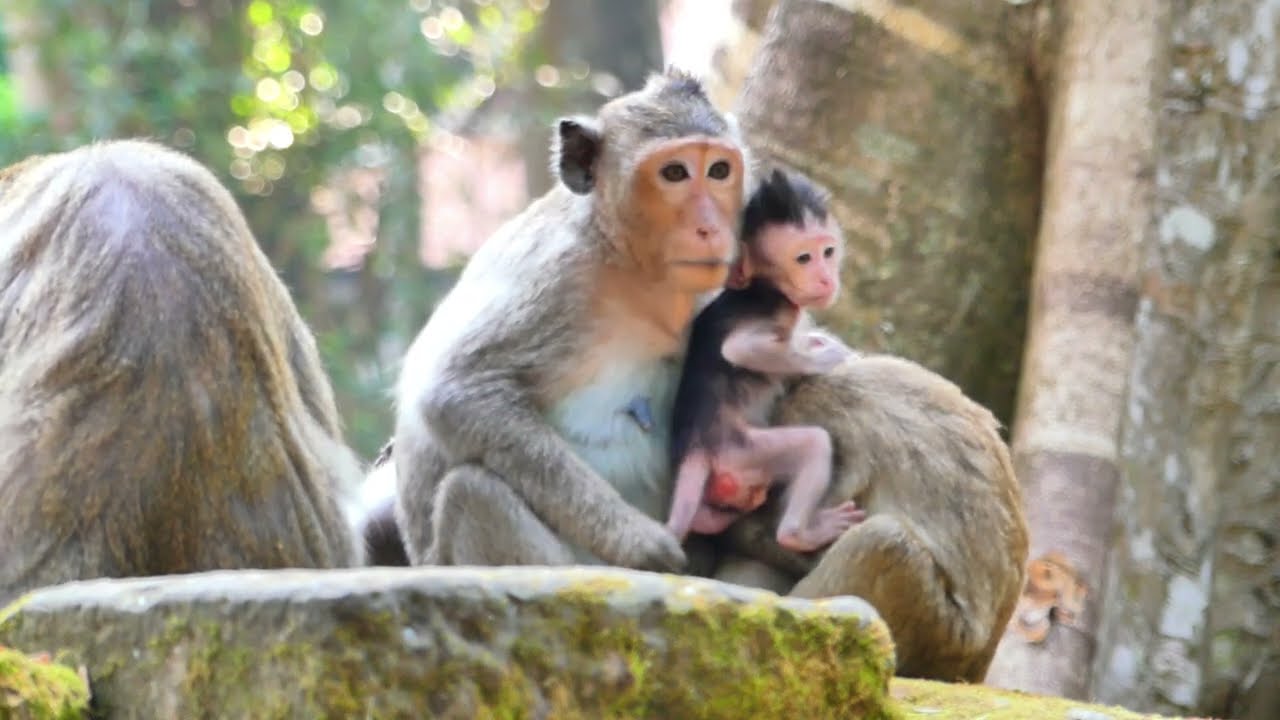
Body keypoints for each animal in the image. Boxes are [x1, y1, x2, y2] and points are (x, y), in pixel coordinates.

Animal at [391, 68, 749, 571]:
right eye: (674, 173)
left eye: (719, 170)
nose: (710, 227)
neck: (625, 262)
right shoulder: (558, 279)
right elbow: (458, 393)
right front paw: (641, 542)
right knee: (471, 492)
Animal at [665, 168, 864, 553]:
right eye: (804, 258)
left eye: (828, 252)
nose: (826, 278)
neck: (763, 284)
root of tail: (695, 447)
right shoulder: (774, 307)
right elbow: (738, 350)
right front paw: (827, 357)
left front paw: (817, 343)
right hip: (744, 451)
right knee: (814, 443)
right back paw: (798, 534)